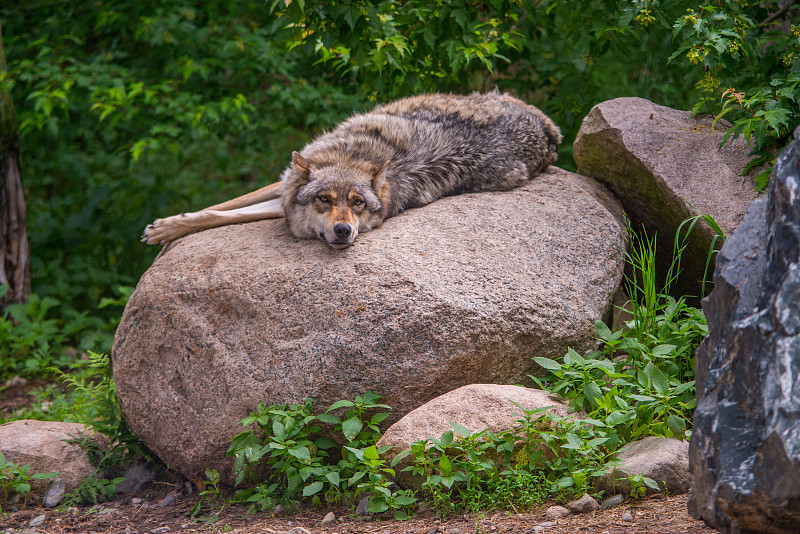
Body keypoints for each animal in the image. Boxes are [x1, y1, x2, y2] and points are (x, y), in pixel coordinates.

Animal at [141, 91, 560, 249]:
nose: (344, 230)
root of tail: (546, 125)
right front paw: (166, 227)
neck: (350, 159)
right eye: (324, 200)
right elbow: (219, 208)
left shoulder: (280, 200)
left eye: (358, 203)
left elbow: (221, 215)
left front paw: (165, 230)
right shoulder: (282, 183)